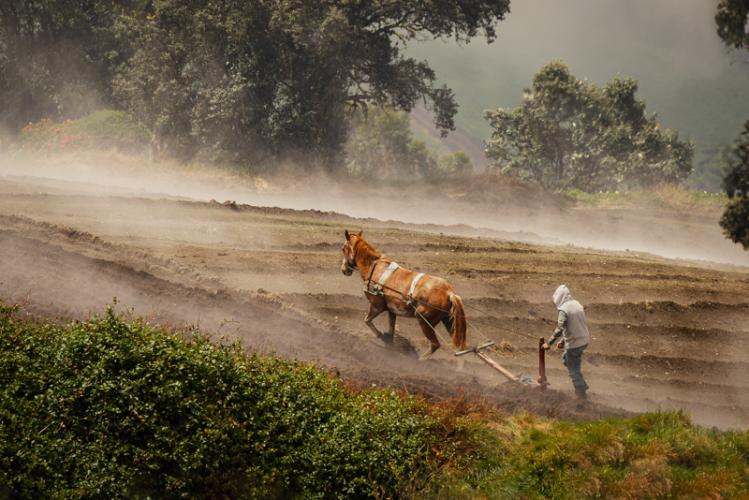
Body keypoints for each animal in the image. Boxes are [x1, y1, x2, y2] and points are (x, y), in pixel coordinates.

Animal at [340, 229, 467, 358]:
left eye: (343, 248)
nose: (344, 270)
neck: (373, 267)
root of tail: (449, 293)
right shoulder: (391, 310)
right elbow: (391, 330)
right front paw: (389, 345)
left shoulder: (377, 306)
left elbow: (367, 321)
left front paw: (381, 336)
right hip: (449, 322)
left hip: (424, 320)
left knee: (434, 345)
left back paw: (419, 360)